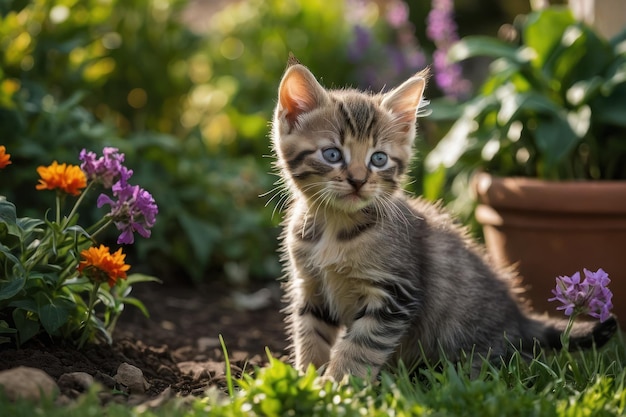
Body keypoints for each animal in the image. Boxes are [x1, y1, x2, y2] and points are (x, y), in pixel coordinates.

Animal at [270, 57, 616, 380]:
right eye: (332, 154)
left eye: (378, 159)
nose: (357, 181)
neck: (334, 226)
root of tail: (520, 317)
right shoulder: (311, 287)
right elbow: (310, 335)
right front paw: (307, 380)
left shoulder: (395, 293)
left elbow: (360, 347)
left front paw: (339, 385)